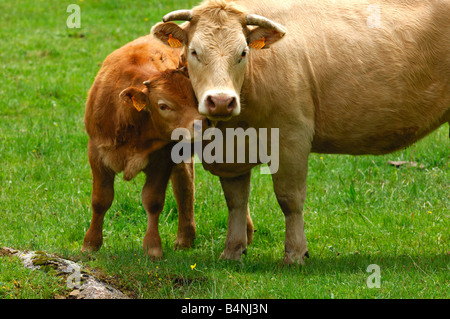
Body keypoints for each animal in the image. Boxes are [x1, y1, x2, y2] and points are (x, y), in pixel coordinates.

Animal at [81, 35, 205, 260]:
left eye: (195, 97)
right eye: (163, 105)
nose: (203, 123)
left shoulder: (164, 157)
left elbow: (153, 201)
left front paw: (153, 247)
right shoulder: (96, 153)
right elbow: (100, 200)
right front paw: (90, 244)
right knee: (184, 183)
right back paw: (185, 239)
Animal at [152, 0, 450, 264]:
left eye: (243, 52)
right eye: (194, 52)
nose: (222, 100)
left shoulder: (291, 137)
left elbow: (289, 199)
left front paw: (295, 254)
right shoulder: (230, 152)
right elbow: (236, 200)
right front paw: (233, 252)